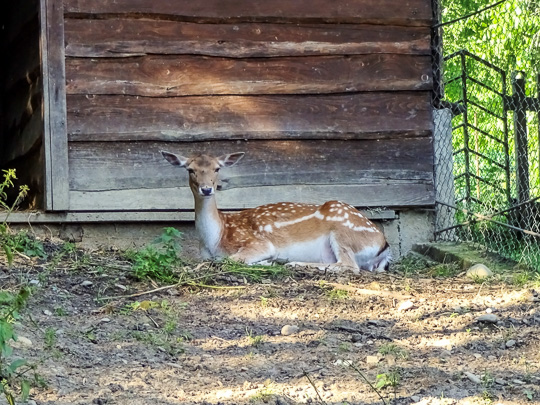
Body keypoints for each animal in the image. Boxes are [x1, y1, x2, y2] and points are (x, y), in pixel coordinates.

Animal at [160, 150, 392, 274]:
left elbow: (229, 260)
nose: (207, 189)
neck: (216, 238)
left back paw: (292, 263)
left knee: (349, 265)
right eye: (190, 169)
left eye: (217, 168)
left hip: (342, 232)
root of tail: (384, 245)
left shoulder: (259, 243)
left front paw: (269, 261)